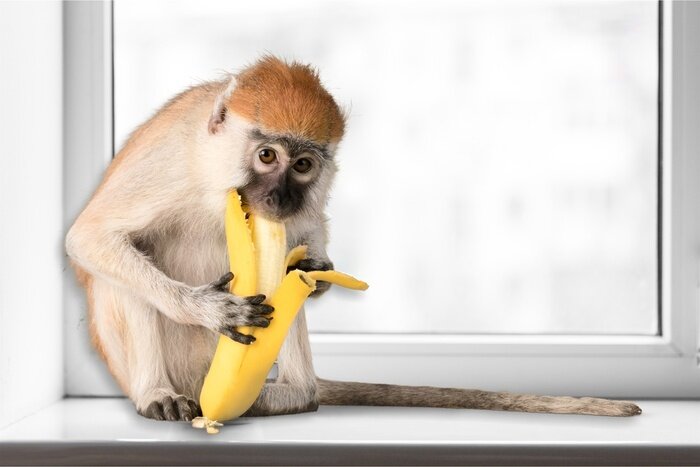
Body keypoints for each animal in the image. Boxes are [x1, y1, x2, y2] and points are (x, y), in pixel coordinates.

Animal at [65, 55, 641, 422]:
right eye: (267, 156)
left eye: (302, 165)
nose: (278, 197)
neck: (215, 173)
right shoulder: (172, 161)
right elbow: (92, 238)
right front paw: (210, 308)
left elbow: (307, 237)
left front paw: (318, 269)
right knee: (125, 270)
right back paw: (157, 393)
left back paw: (295, 396)